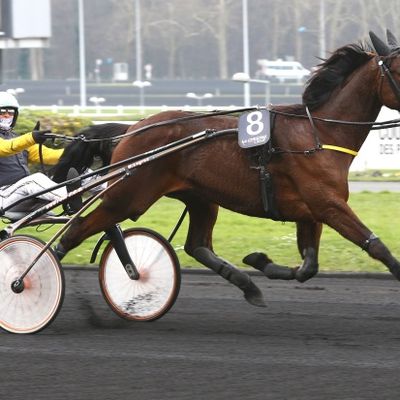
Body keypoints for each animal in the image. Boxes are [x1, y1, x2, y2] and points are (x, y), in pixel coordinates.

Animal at [55, 31, 400, 306]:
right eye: (397, 68)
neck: (320, 134)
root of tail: (131, 129)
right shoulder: (328, 204)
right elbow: (376, 246)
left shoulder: (311, 210)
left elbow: (309, 266)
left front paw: (261, 261)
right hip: (128, 197)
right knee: (75, 230)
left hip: (200, 198)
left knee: (197, 246)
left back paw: (248, 286)